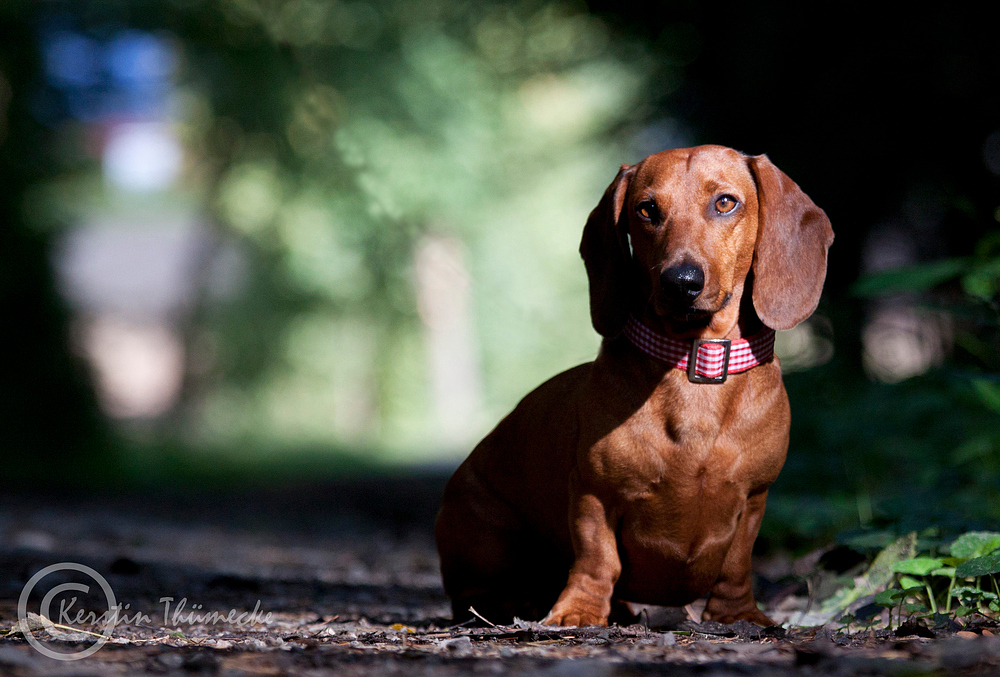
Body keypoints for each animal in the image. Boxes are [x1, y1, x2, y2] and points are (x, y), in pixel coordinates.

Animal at [434, 145, 832, 624]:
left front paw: (739, 615)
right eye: (647, 209)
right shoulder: (595, 494)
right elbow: (597, 559)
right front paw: (578, 611)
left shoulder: (754, 497)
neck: (694, 362)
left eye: (725, 203)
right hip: (489, 538)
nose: (681, 282)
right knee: (474, 594)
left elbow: (736, 564)